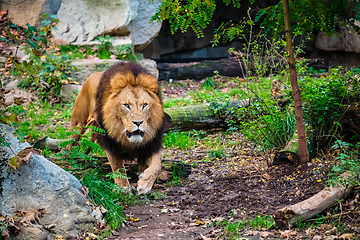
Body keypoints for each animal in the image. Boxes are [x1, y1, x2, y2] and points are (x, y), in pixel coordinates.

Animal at [68, 61, 170, 194]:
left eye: (144, 105)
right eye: (126, 105)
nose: (138, 122)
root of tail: (91, 76)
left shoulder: (150, 144)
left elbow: (157, 165)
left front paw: (144, 184)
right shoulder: (110, 142)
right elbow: (118, 167)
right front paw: (123, 188)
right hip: (78, 125)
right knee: (69, 144)